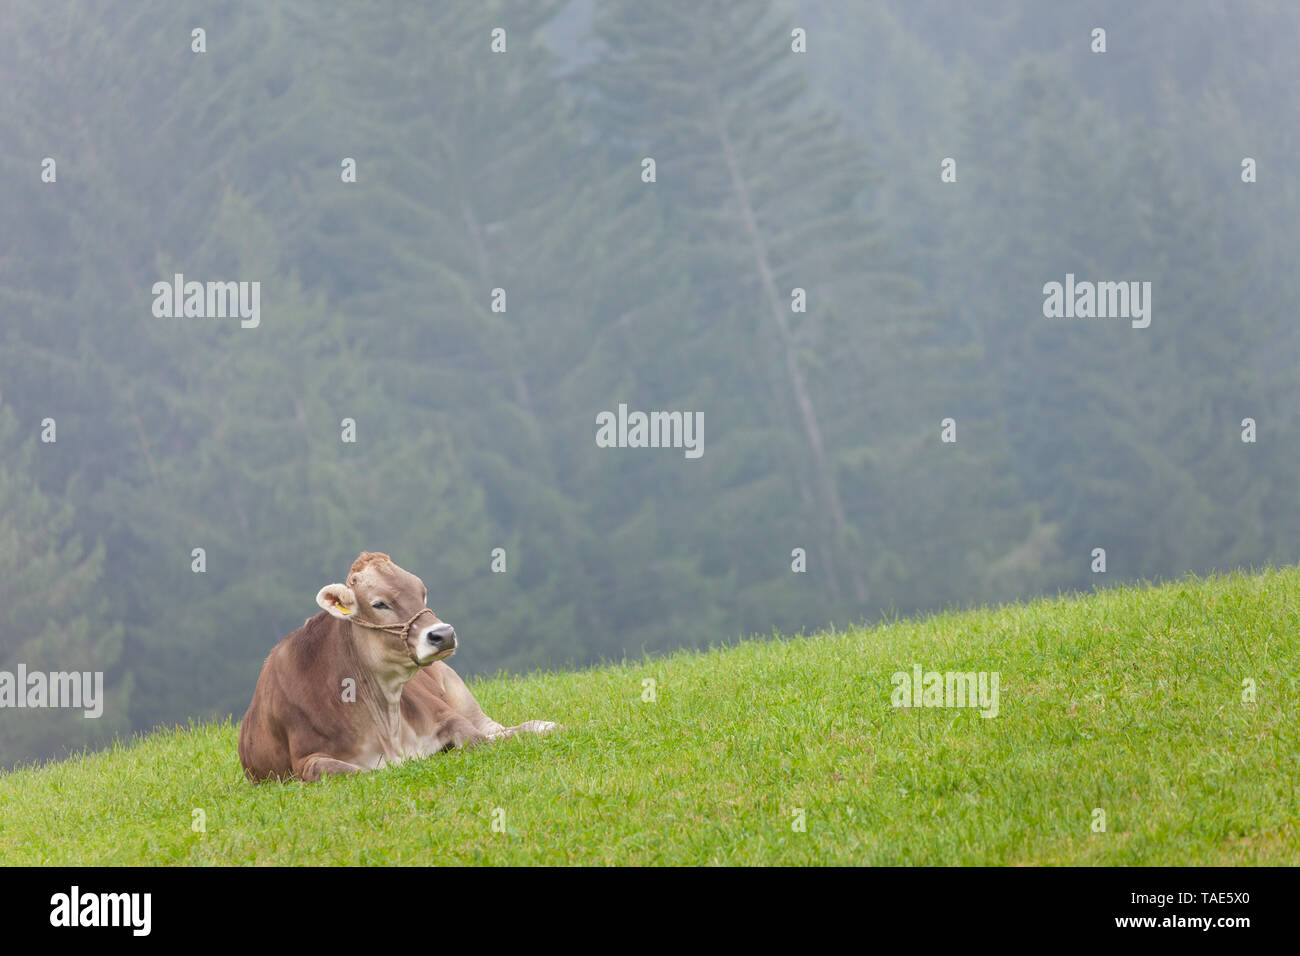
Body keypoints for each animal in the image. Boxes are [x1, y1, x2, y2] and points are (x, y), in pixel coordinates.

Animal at [238, 551, 559, 782]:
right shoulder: (306, 760)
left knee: (496, 729)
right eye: (379, 604)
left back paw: (543, 725)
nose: (443, 634)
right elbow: (350, 771)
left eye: (422, 592)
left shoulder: (446, 715)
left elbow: (477, 739)